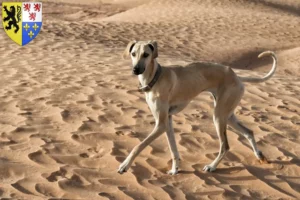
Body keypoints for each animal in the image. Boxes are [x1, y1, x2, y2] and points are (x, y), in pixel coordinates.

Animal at [118, 40, 278, 175]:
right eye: (133, 54)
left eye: (146, 54)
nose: (135, 69)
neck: (156, 77)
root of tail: (237, 76)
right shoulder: (167, 121)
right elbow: (173, 149)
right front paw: (175, 170)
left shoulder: (161, 124)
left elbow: (138, 146)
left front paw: (125, 165)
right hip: (228, 114)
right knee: (249, 132)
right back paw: (259, 155)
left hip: (218, 116)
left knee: (225, 146)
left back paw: (212, 166)